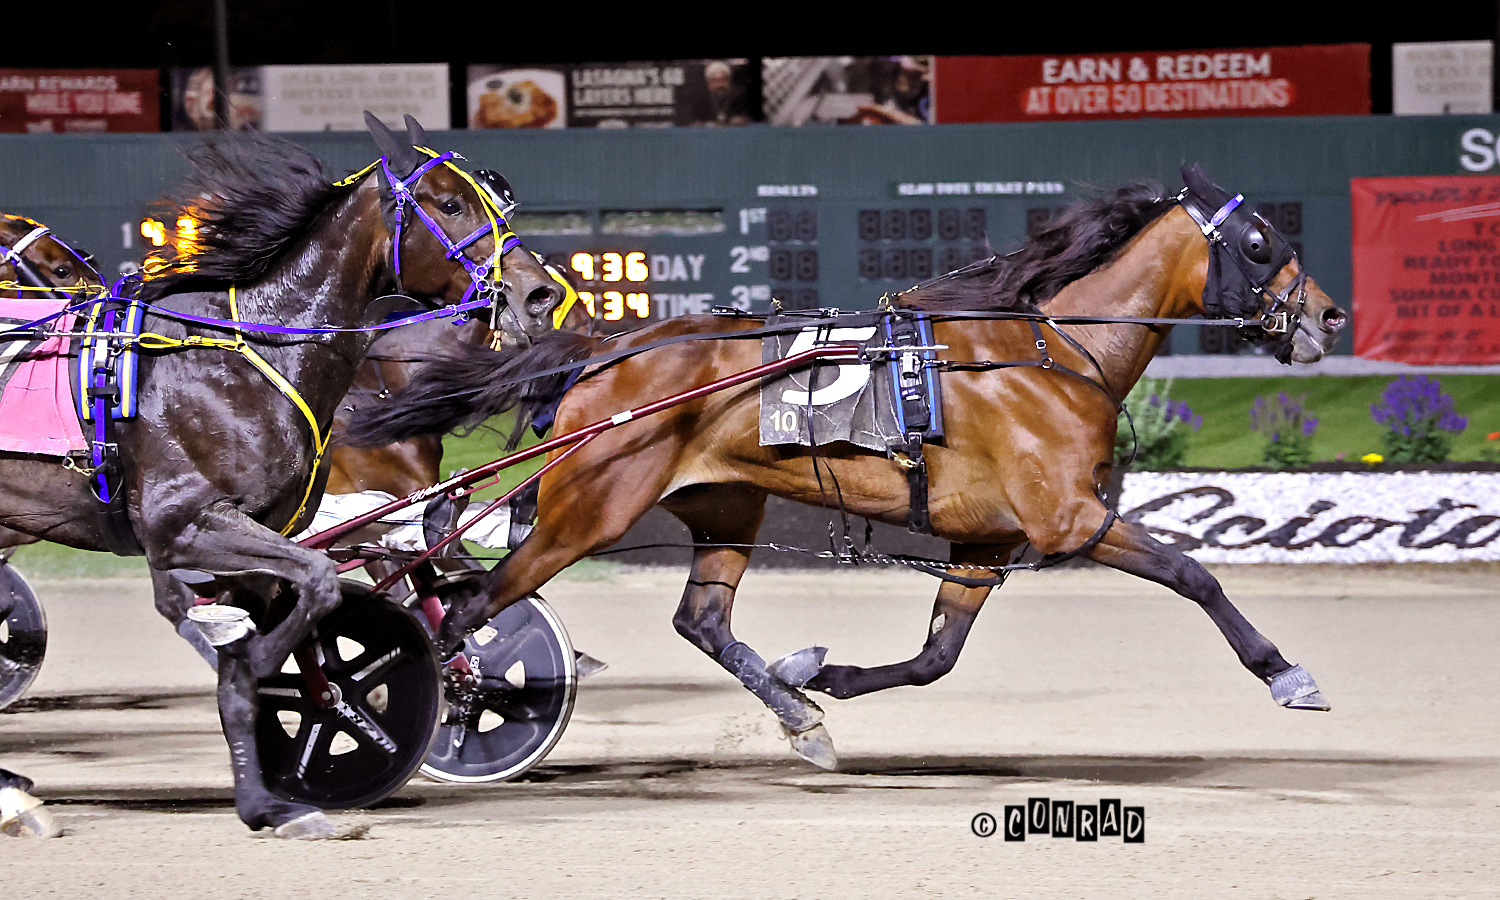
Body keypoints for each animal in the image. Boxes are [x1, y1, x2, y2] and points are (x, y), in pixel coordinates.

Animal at [0, 113, 564, 838]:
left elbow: (270, 647)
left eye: (495, 200)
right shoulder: (186, 526)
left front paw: (270, 799)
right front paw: (271, 667)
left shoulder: (265, 536)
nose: (539, 293)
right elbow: (315, 584)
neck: (247, 354)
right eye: (449, 204)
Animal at [347, 165, 1350, 770]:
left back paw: (797, 713)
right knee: (466, 609)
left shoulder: (985, 541)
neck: (1047, 352)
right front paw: (1286, 673)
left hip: (724, 505)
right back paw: (443, 714)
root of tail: (604, 348)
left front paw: (821, 679)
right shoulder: (1072, 519)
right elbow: (1192, 573)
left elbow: (936, 657)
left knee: (700, 619)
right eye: (1259, 241)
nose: (1327, 317)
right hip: (584, 513)